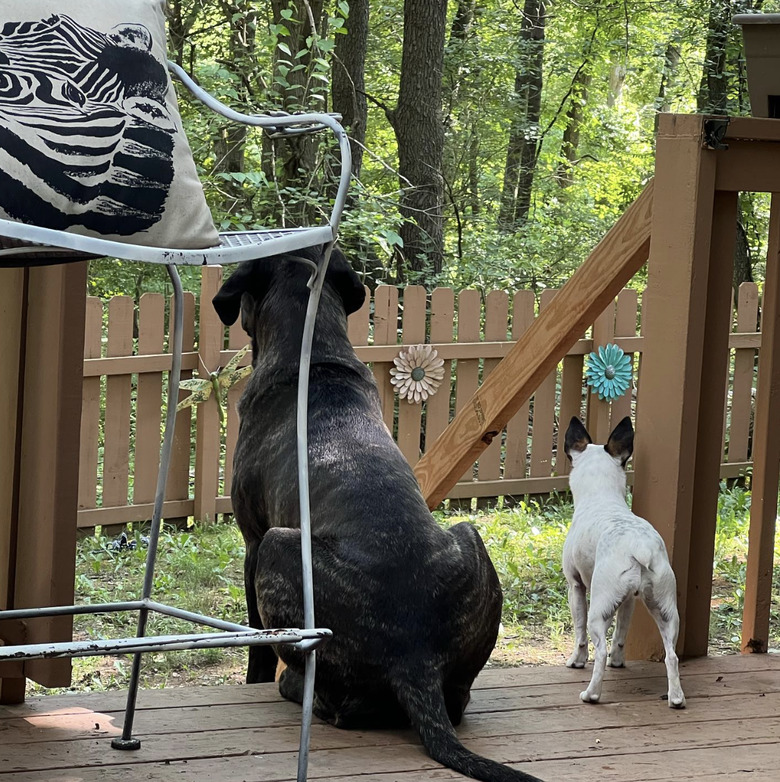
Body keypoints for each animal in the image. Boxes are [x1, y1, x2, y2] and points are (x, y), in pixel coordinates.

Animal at [212, 248, 544, 782]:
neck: (314, 358)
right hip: (470, 537)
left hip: (279, 545)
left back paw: (294, 689)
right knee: (457, 701)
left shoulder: (252, 540)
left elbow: (256, 641)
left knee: (333, 701)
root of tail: (415, 658)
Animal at [560, 416, 684, 712]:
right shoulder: (629, 600)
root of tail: (639, 545)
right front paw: (620, 660)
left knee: (600, 652)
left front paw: (576, 661)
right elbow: (621, 633)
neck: (601, 496)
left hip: (600, 608)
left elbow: (579, 635)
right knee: (671, 655)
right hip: (666, 610)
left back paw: (591, 694)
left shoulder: (575, 587)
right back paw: (676, 697)